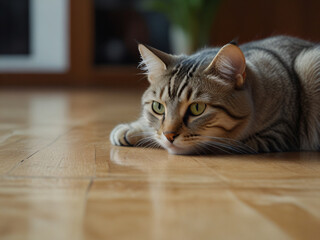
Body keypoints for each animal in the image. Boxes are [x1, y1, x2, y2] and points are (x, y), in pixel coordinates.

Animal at [110, 36, 320, 155]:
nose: (169, 135)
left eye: (197, 108)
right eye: (158, 107)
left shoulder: (277, 134)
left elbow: (217, 143)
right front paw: (133, 128)